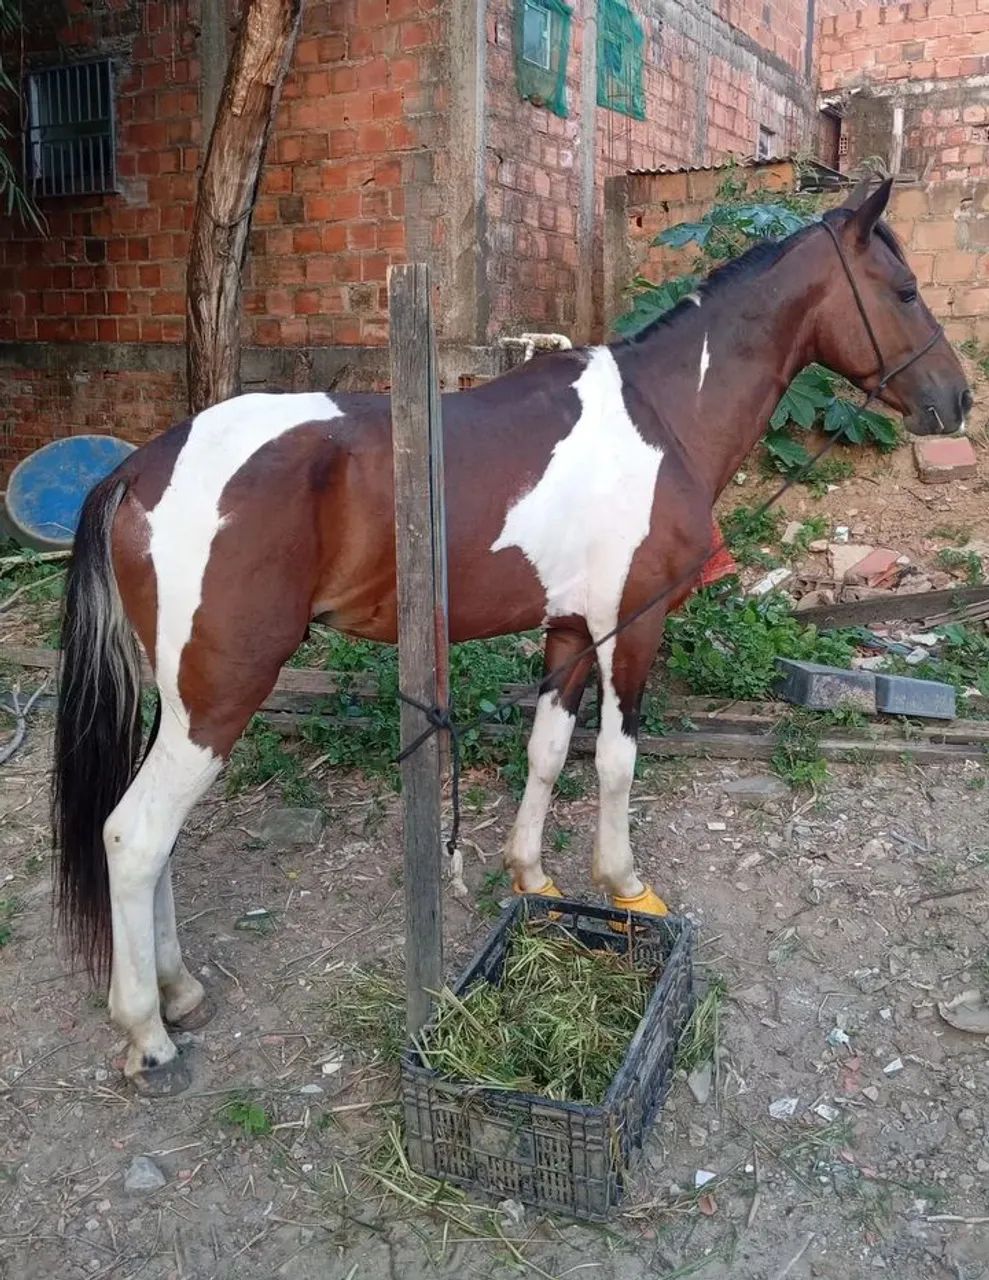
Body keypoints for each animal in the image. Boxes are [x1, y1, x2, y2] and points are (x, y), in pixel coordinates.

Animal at [52, 177, 971, 1094]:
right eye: (903, 292)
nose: (956, 400)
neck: (663, 414)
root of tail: (138, 468)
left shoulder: (567, 629)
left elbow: (547, 751)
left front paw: (529, 874)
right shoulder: (630, 626)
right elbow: (615, 760)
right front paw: (624, 886)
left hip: (180, 700)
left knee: (155, 839)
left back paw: (179, 989)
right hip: (221, 694)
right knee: (134, 838)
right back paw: (148, 1033)